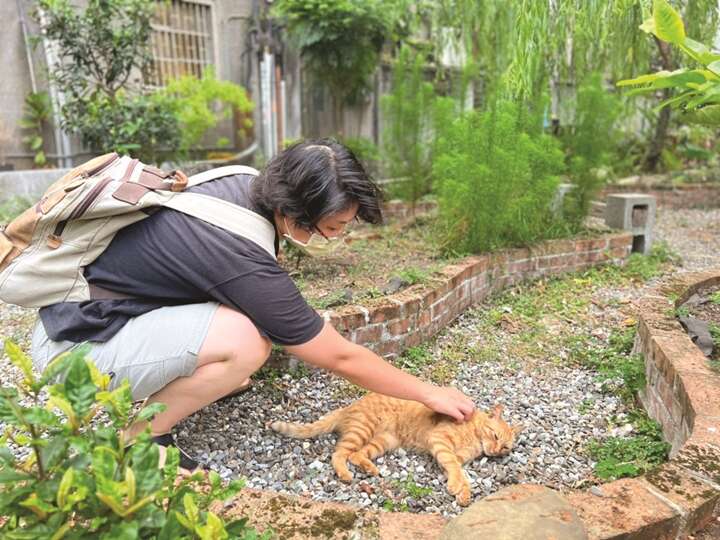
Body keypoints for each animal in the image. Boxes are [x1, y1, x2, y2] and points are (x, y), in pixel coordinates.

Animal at [272, 392, 520, 506]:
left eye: (505, 447)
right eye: (495, 436)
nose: (496, 450)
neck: (475, 438)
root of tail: (349, 407)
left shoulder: (457, 456)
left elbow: (459, 471)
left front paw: (464, 494)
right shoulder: (440, 442)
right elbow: (455, 468)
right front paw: (456, 487)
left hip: (383, 442)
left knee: (357, 454)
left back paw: (370, 469)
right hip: (362, 430)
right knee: (340, 453)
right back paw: (345, 474)